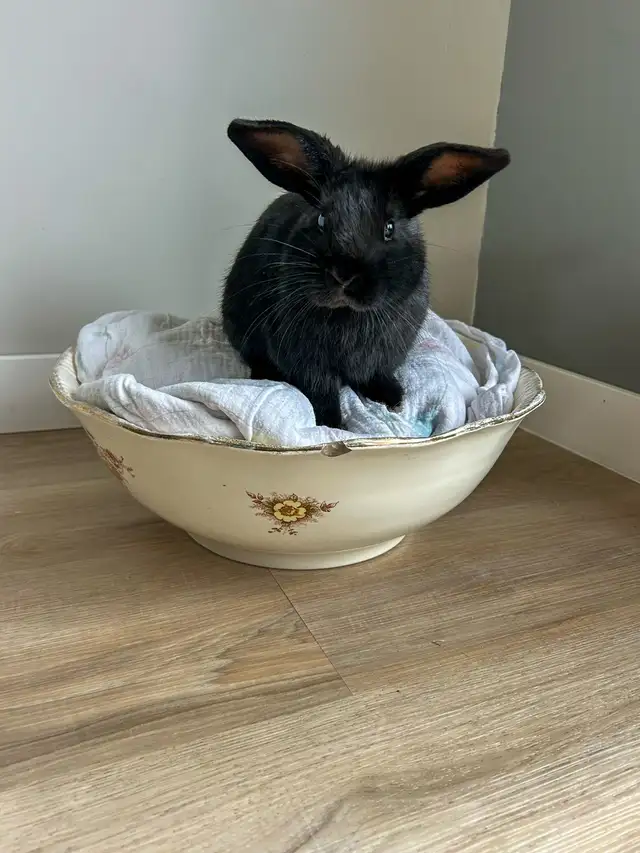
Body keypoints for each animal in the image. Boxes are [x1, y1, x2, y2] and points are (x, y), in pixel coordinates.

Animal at [222, 119, 510, 428]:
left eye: (389, 227)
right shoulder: (307, 363)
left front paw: (395, 398)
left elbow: (376, 377)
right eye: (321, 219)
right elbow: (320, 392)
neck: (348, 315)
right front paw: (332, 424)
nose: (343, 275)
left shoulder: (384, 358)